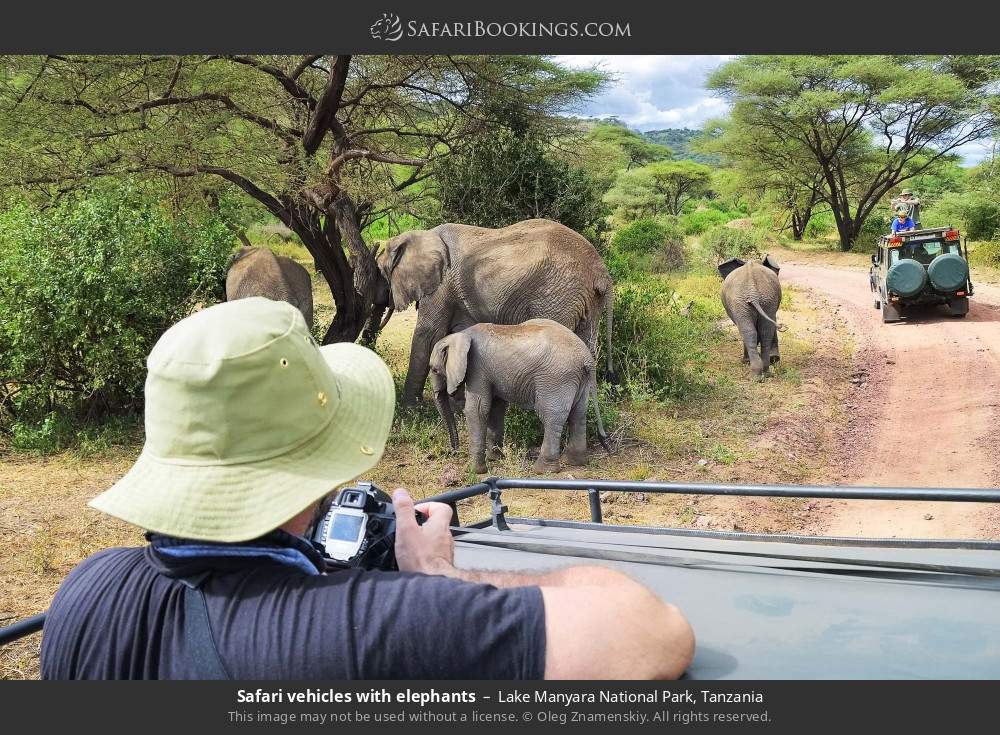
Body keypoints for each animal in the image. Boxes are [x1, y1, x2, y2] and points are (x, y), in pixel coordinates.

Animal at [376, 219, 614, 406]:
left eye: (381, 272)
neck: (421, 235)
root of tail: (600, 270)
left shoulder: (441, 285)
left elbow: (428, 334)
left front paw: (410, 407)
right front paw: (458, 406)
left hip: (557, 295)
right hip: (587, 300)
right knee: (587, 345)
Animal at [429, 319, 610, 475]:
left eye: (434, 370)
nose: (454, 451)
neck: (461, 335)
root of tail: (587, 359)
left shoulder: (476, 369)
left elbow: (478, 409)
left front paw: (474, 471)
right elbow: (496, 408)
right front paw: (495, 458)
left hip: (557, 378)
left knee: (551, 417)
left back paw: (543, 470)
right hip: (580, 380)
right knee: (578, 414)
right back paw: (573, 462)